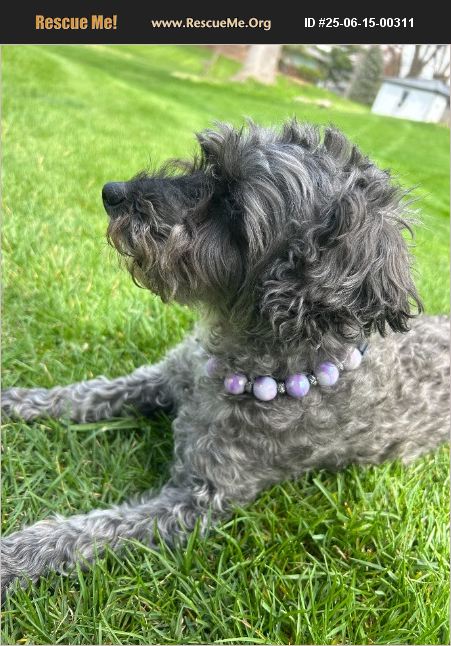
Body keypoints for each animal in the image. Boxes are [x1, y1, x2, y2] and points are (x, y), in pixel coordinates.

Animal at [1, 120, 449, 598]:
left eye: (232, 206)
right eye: (208, 164)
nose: (113, 192)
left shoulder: (198, 503)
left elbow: (92, 532)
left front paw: (15, 557)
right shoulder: (165, 376)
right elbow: (85, 394)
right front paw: (15, 402)